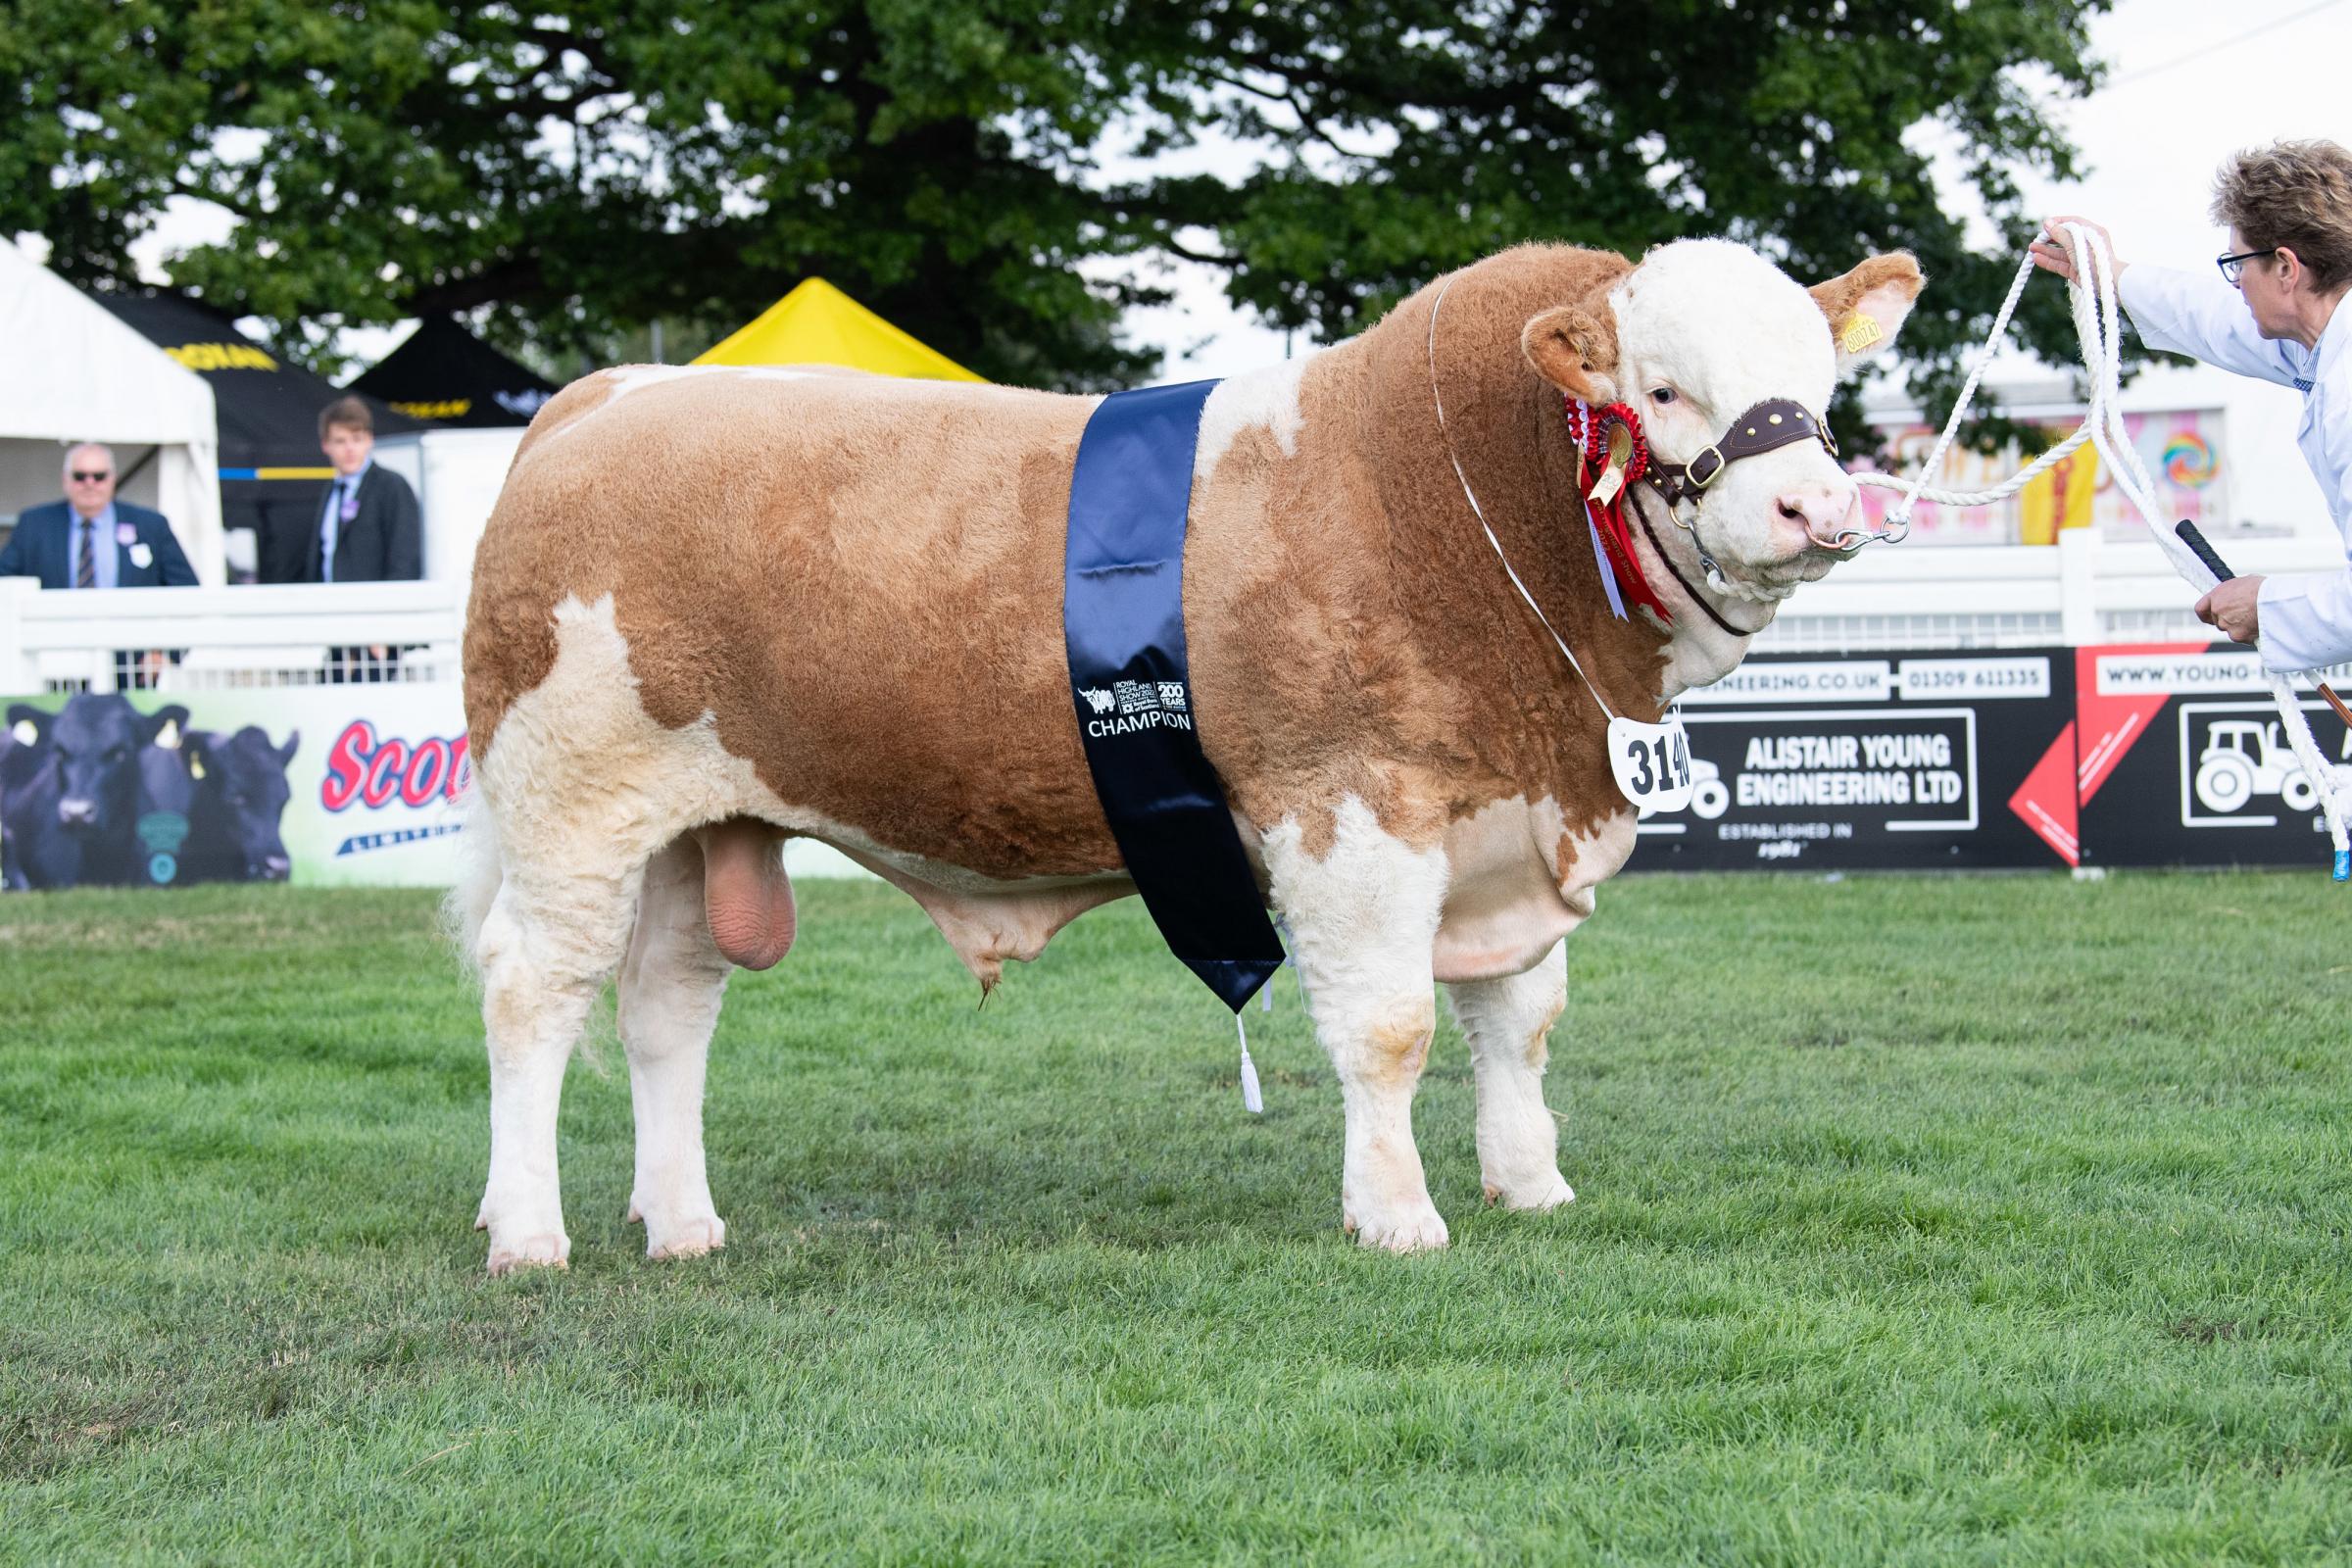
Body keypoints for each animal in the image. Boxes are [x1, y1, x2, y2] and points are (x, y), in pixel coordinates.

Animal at [449, 242, 1919, 1278]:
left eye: (1825, 386)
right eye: (1662, 388)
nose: (1819, 507)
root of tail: (614, 393)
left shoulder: (1511, 817)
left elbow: (1521, 1022)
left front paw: (1532, 1186)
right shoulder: (1349, 812)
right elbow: (1389, 1028)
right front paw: (1398, 1216)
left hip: (697, 824)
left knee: (665, 1005)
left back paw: (681, 1222)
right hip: (570, 800)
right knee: (531, 990)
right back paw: (530, 1233)